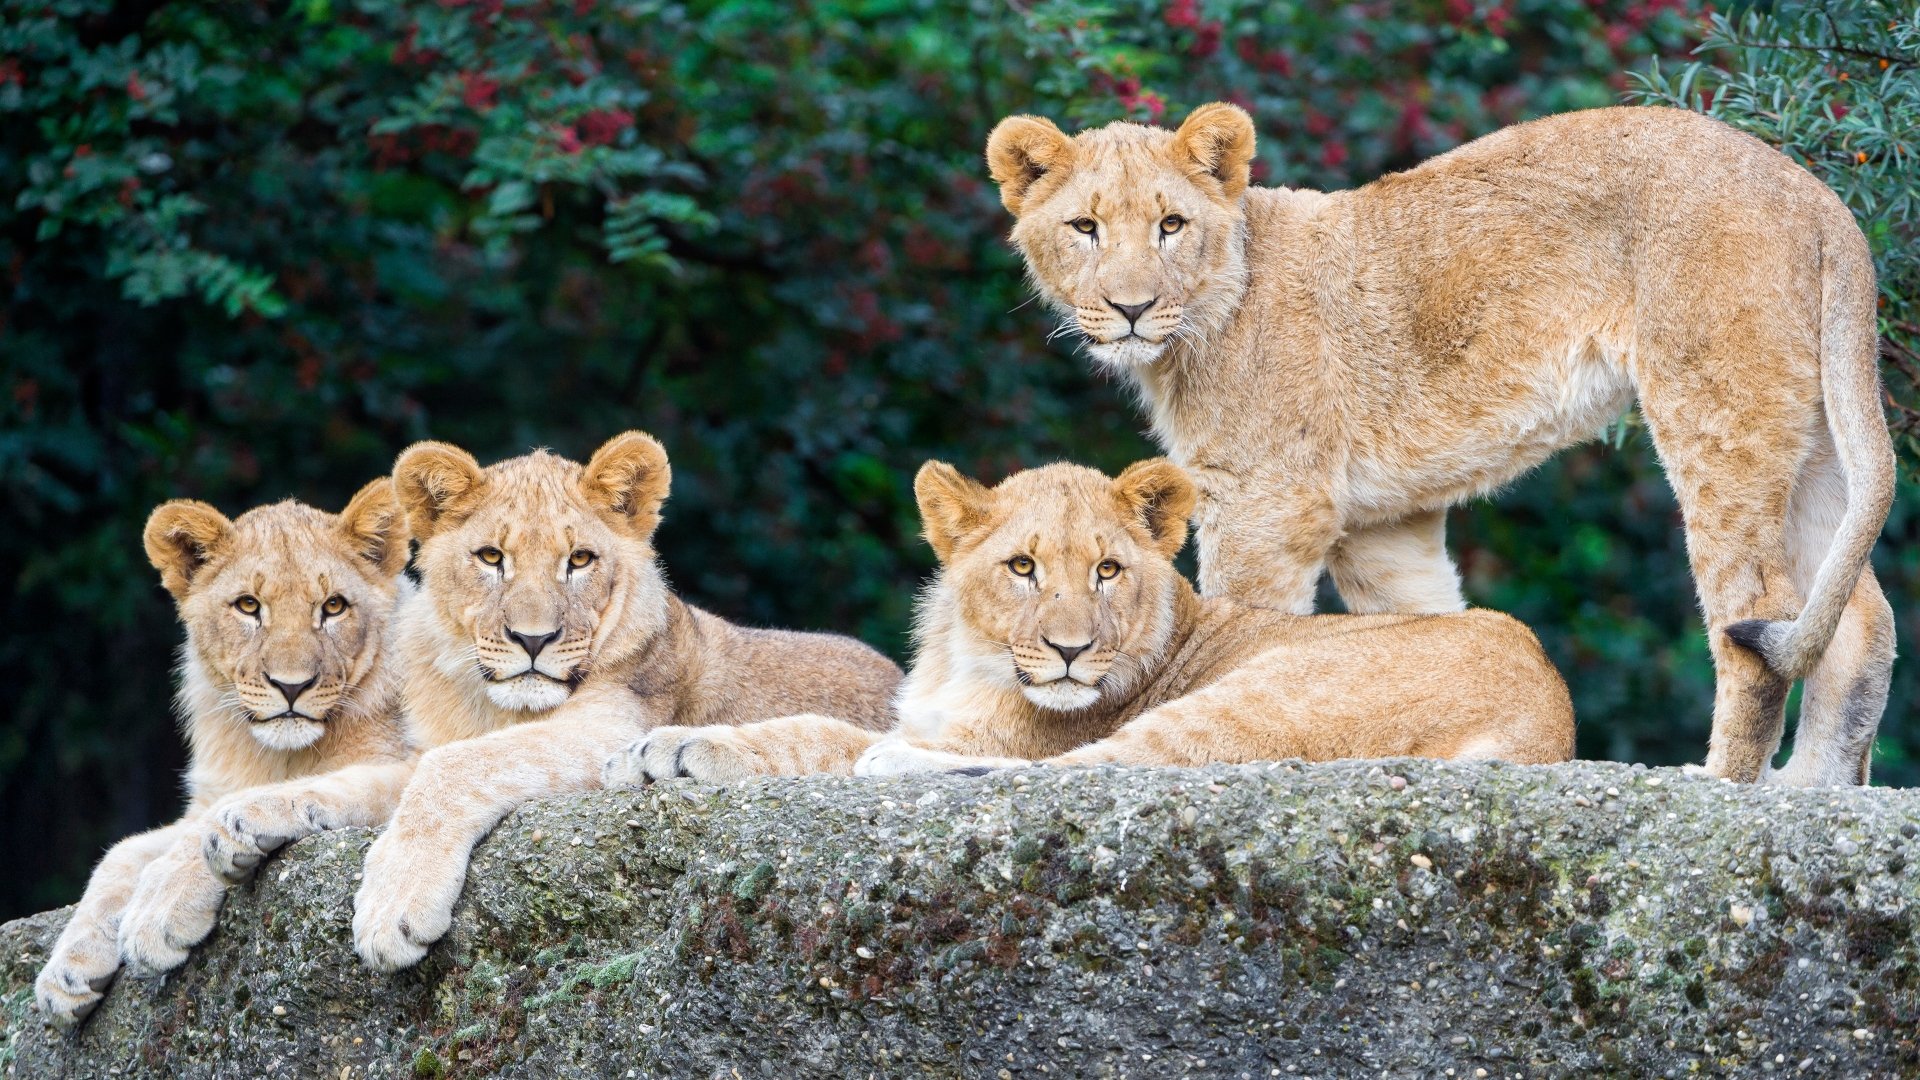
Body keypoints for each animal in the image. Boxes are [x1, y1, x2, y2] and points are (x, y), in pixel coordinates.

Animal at [35, 483, 415, 1027]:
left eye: (334, 606)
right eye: (248, 605)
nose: (292, 686)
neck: (272, 755)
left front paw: (158, 911)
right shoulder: (206, 797)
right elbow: (122, 852)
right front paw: (67, 971)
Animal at [351, 431, 902, 971]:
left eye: (579, 560)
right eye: (490, 557)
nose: (533, 639)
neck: (490, 703)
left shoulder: (610, 732)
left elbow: (454, 766)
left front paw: (391, 905)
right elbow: (371, 783)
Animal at [603, 459, 1573, 784]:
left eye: (1108, 570)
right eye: (1023, 568)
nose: (1070, 654)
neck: (968, 660)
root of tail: (1550, 714)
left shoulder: (1010, 731)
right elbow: (806, 729)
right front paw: (668, 748)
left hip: (1262, 695)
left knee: (1091, 771)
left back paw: (898, 769)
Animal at [980, 102, 1895, 788]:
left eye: (1171, 224)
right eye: (1084, 228)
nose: (1131, 309)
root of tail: (1818, 198)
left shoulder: (1267, 500)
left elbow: (1242, 621)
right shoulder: (1380, 526)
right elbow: (1428, 624)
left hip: (1715, 410)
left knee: (1754, 609)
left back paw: (1724, 784)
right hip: (1811, 437)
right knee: (1859, 617)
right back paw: (1811, 789)